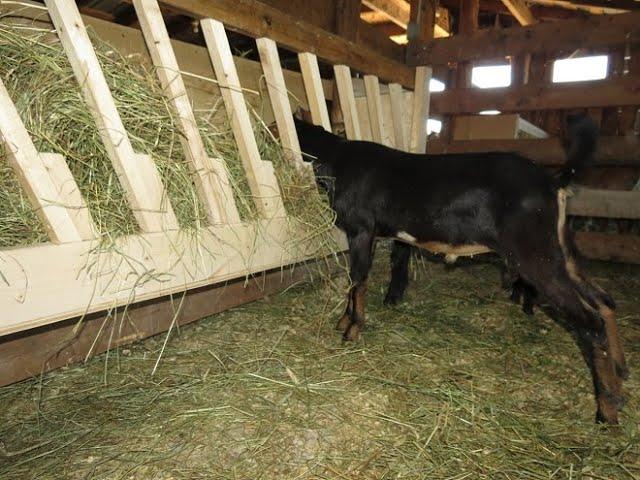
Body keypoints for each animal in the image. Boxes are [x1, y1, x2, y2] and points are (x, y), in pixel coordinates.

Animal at [298, 116, 628, 424]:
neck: (337, 156)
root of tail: (553, 181)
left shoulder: (362, 229)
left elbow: (358, 279)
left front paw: (351, 330)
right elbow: (353, 280)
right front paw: (343, 321)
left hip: (535, 254)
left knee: (590, 321)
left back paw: (606, 411)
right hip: (559, 251)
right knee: (604, 300)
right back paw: (620, 377)